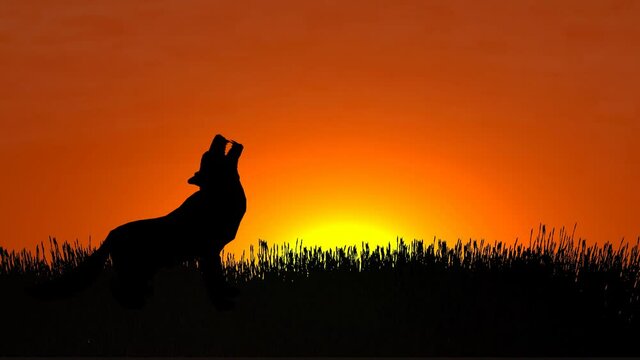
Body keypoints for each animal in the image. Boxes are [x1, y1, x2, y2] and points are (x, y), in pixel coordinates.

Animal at [31, 135, 249, 310]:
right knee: (116, 286)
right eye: (208, 155)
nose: (218, 135)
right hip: (134, 267)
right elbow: (213, 281)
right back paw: (135, 304)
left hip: (144, 269)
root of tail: (111, 234)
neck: (219, 197)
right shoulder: (207, 252)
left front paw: (229, 294)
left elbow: (219, 278)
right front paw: (223, 305)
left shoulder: (214, 251)